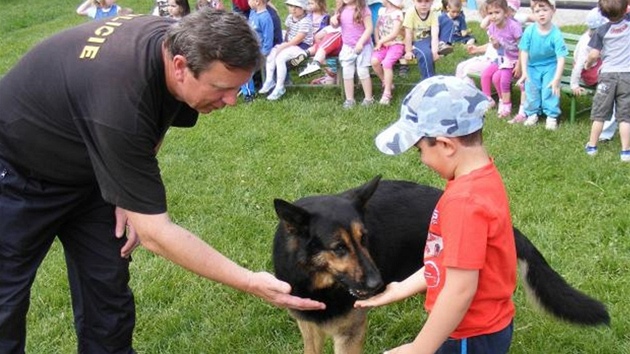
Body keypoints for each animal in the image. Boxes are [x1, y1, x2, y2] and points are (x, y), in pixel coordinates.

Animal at [272, 176, 612, 352]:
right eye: (339, 248)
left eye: (364, 239)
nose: (378, 285)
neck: (318, 283)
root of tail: (505, 224)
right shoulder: (309, 327)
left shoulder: (350, 335)